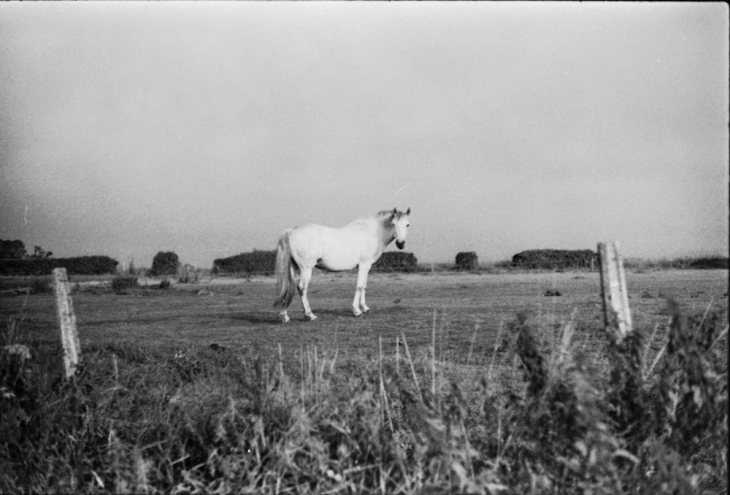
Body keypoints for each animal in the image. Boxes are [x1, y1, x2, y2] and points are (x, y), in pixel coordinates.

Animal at [272, 208, 410, 322]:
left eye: (407, 224)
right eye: (393, 224)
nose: (401, 243)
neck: (372, 232)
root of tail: (290, 231)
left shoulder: (366, 267)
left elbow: (364, 286)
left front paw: (365, 307)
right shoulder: (364, 265)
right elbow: (359, 286)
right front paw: (357, 311)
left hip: (293, 268)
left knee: (288, 287)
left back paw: (284, 316)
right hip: (306, 268)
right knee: (302, 288)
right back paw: (309, 315)